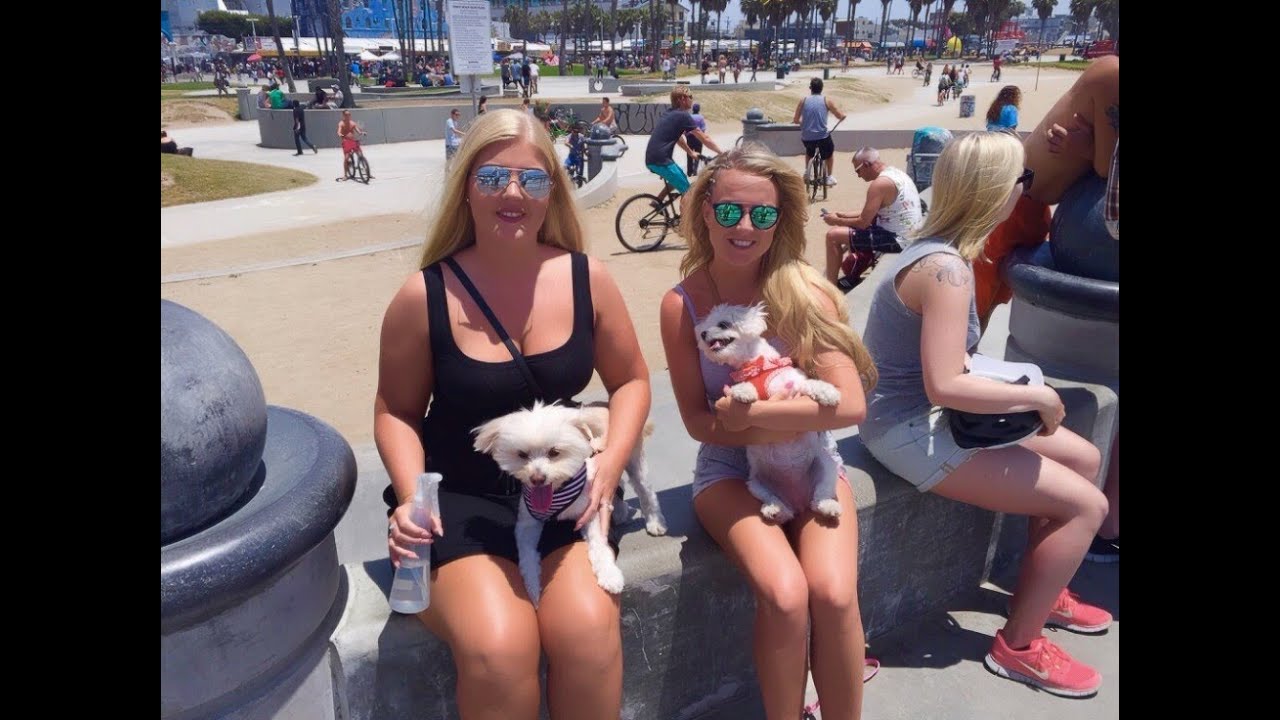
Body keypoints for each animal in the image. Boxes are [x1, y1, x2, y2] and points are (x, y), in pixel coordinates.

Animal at [473, 401, 667, 606]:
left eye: (554, 452)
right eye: (522, 454)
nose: (537, 478)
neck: (558, 491)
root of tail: (604, 405)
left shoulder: (590, 510)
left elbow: (599, 545)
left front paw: (609, 575)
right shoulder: (527, 524)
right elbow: (526, 556)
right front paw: (533, 588)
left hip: (632, 460)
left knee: (645, 490)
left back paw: (655, 522)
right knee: (617, 485)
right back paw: (620, 511)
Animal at [694, 303, 843, 523]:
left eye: (723, 324)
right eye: (704, 328)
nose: (703, 334)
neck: (757, 366)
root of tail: (798, 501)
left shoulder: (795, 384)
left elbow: (812, 384)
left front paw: (828, 393)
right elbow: (745, 388)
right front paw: (743, 392)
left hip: (827, 467)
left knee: (820, 495)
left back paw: (829, 506)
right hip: (756, 484)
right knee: (776, 500)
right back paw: (775, 510)